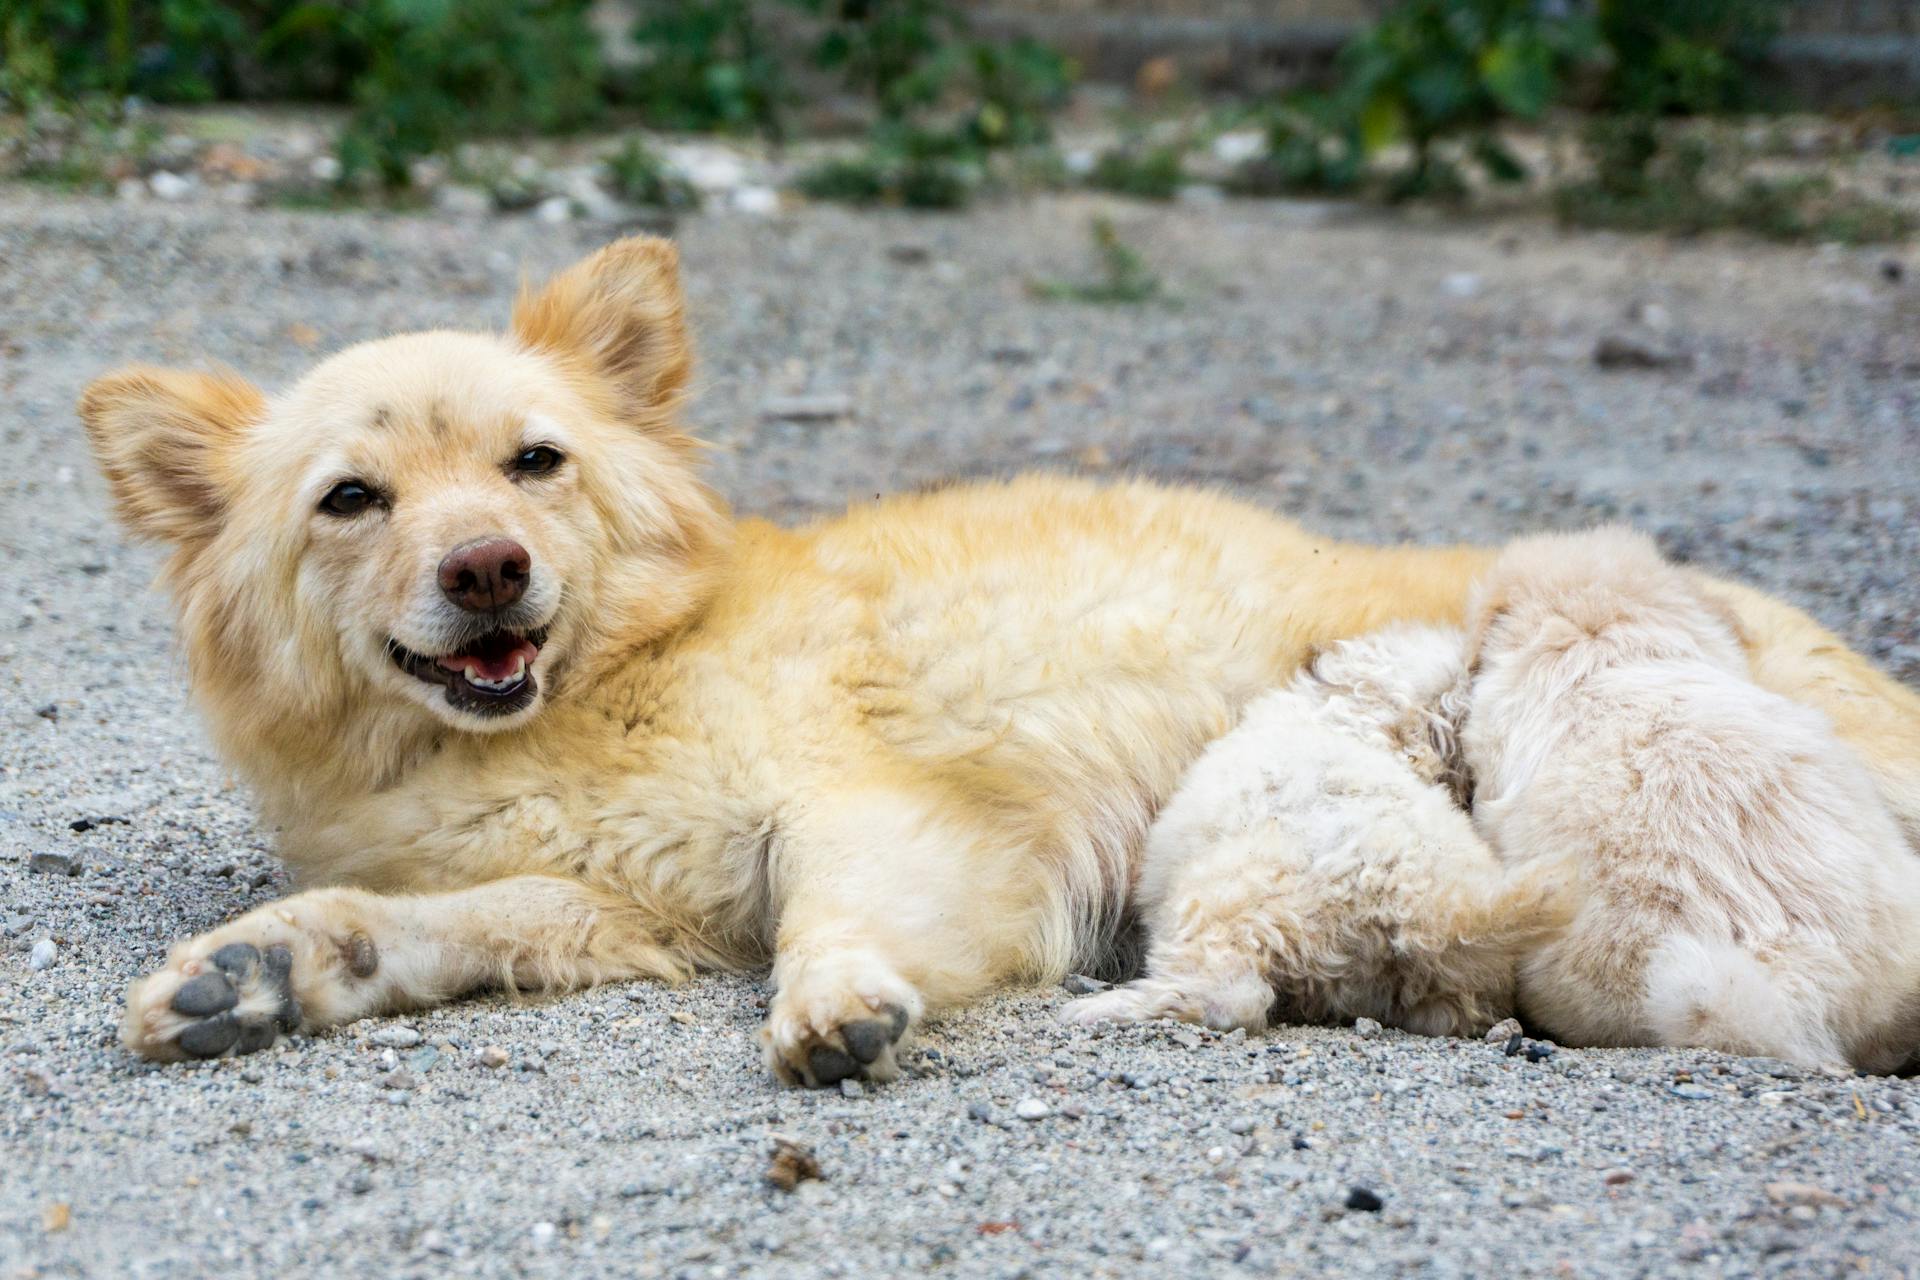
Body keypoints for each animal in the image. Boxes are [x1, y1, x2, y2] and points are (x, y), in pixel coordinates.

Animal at [1059, 629, 1566, 1043]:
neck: (1358, 721)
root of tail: (1425, 903)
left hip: (1221, 897)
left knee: (1233, 996)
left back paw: (1106, 1007)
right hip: (1447, 992)